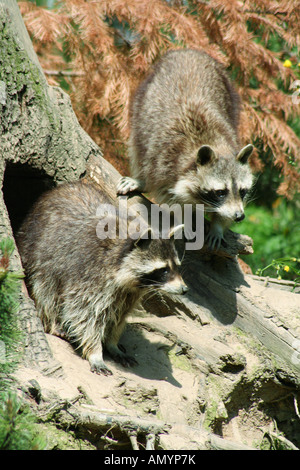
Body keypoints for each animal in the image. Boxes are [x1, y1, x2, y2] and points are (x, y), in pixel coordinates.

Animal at [16, 182, 186, 376]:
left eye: (177, 267)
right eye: (163, 270)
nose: (184, 289)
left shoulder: (128, 293)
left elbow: (118, 316)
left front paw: (112, 342)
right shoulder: (89, 275)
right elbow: (84, 314)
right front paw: (95, 352)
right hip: (38, 249)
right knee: (45, 288)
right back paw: (51, 321)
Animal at [118, 48, 254, 250]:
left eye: (243, 191)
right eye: (220, 192)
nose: (239, 216)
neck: (213, 144)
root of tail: (188, 51)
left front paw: (218, 225)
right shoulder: (165, 161)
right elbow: (169, 198)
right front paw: (186, 218)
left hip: (230, 94)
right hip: (142, 98)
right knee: (137, 145)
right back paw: (142, 179)